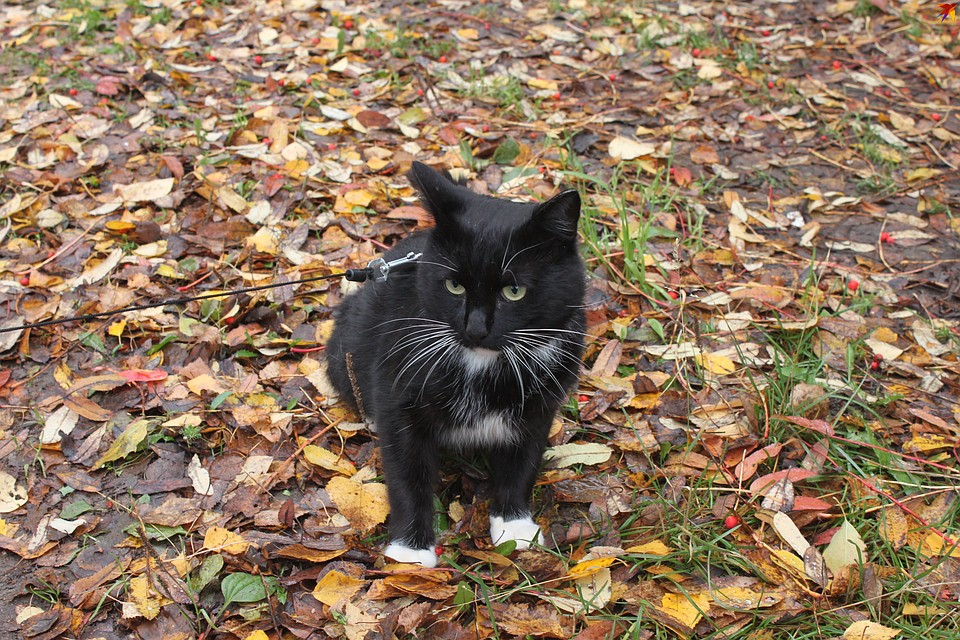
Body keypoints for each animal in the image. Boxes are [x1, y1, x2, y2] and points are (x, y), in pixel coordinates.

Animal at [326, 162, 584, 568]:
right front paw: (410, 551)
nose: (475, 328)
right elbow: (405, 467)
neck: (482, 363)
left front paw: (515, 524)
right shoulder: (399, 381)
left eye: (514, 291)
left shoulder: (542, 398)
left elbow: (524, 457)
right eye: (453, 286)